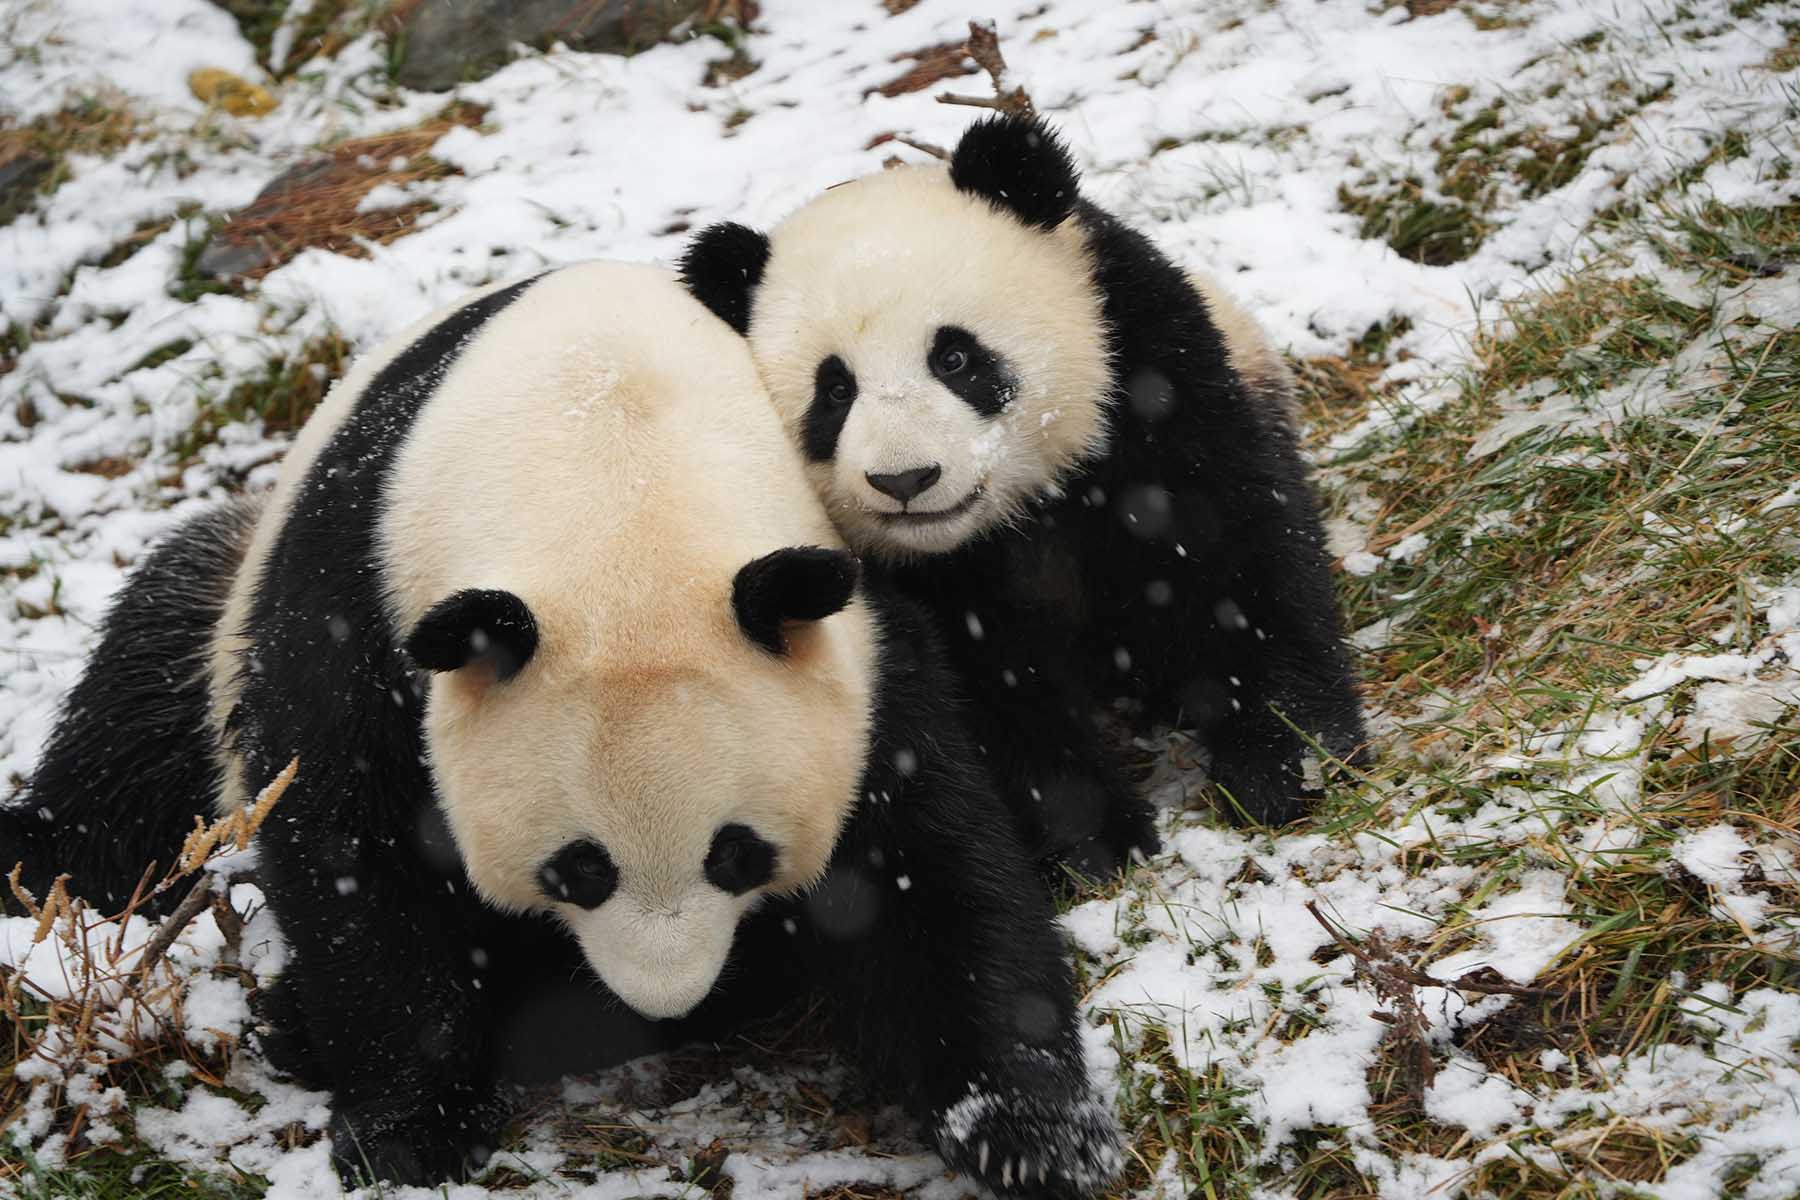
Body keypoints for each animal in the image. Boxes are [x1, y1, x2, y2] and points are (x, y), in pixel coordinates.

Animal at [1, 262, 1122, 1196]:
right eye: (580, 869)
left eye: (738, 854)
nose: (667, 996)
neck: (609, 474)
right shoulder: (363, 597)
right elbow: (345, 842)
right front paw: (411, 1128)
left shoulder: (852, 635)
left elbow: (925, 864)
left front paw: (1031, 1133)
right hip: (222, 607)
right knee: (141, 710)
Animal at [679, 115, 1367, 874]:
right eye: (834, 391)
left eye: (954, 358)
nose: (905, 480)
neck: (1015, 511)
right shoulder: (907, 579)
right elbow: (991, 688)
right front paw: (1097, 838)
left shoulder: (1142, 361)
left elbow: (1230, 550)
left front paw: (1284, 765)